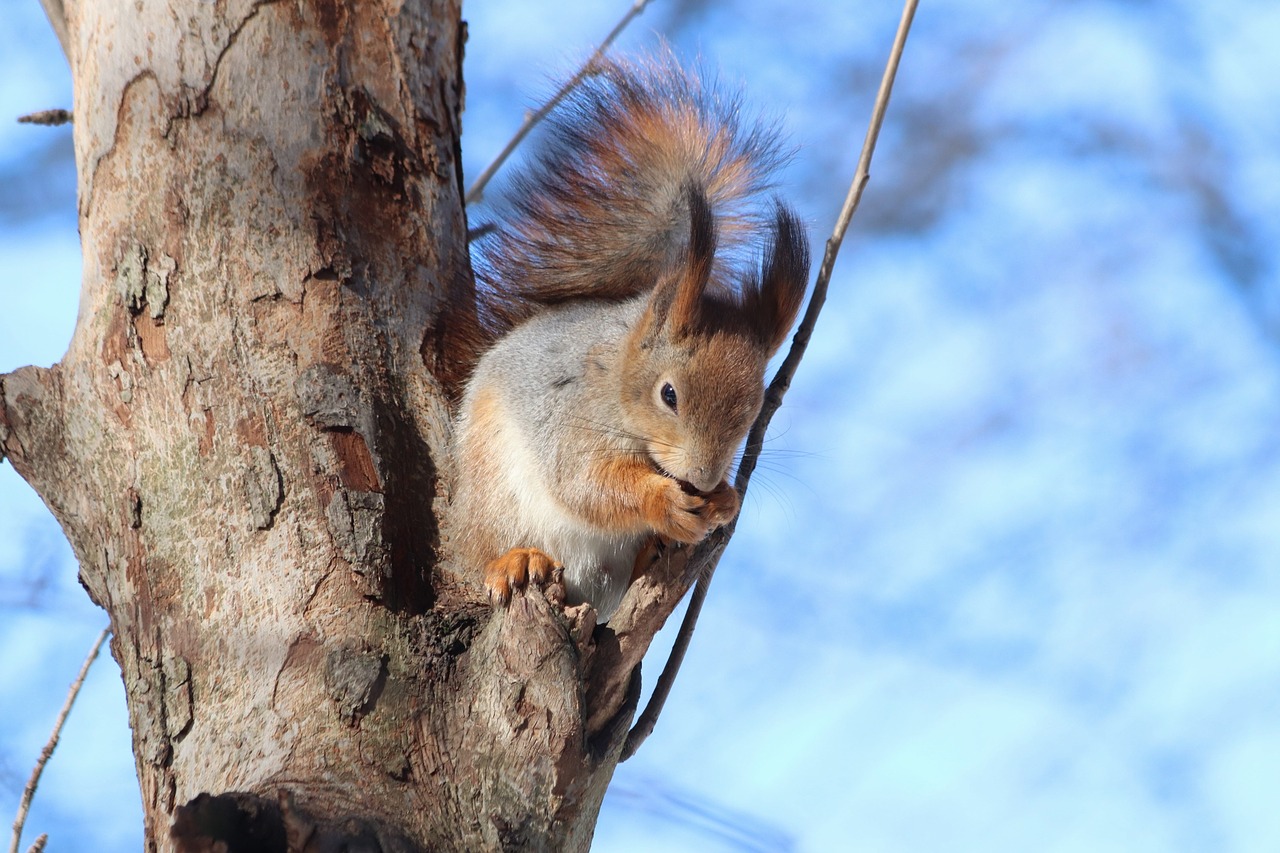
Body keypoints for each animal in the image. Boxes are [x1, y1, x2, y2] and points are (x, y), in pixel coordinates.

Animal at [453, 56, 808, 622]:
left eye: (755, 406)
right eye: (669, 395)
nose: (704, 478)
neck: (616, 371)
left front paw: (725, 500)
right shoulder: (567, 412)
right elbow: (585, 482)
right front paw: (665, 502)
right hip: (490, 496)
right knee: (488, 549)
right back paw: (514, 560)